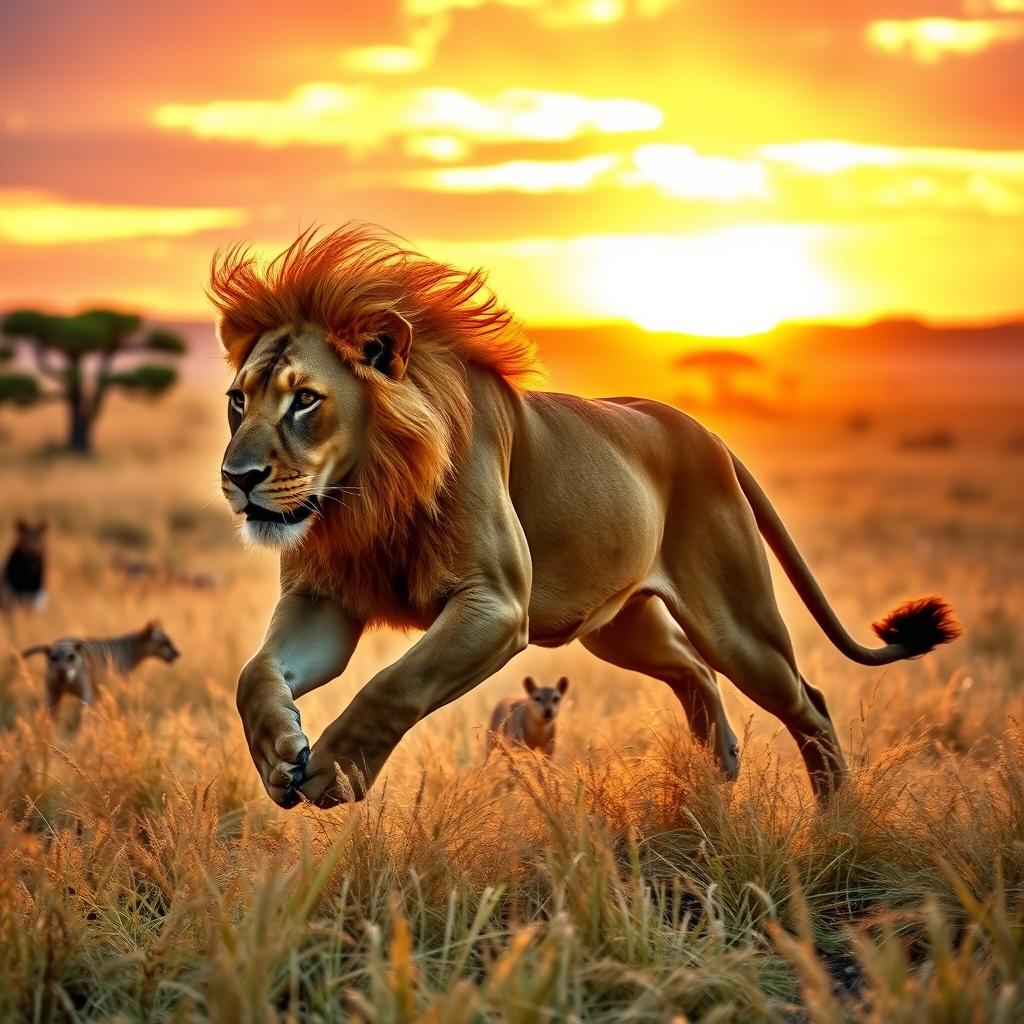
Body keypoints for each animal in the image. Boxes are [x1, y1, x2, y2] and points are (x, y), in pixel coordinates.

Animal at [210, 224, 961, 809]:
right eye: (237, 401)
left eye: (305, 400)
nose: (236, 480)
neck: (364, 494)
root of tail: (705, 431)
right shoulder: (325, 601)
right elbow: (254, 675)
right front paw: (280, 754)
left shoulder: (496, 605)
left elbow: (394, 685)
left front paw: (333, 771)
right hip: (621, 627)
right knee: (693, 670)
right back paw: (718, 767)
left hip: (736, 620)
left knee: (806, 699)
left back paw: (835, 821)